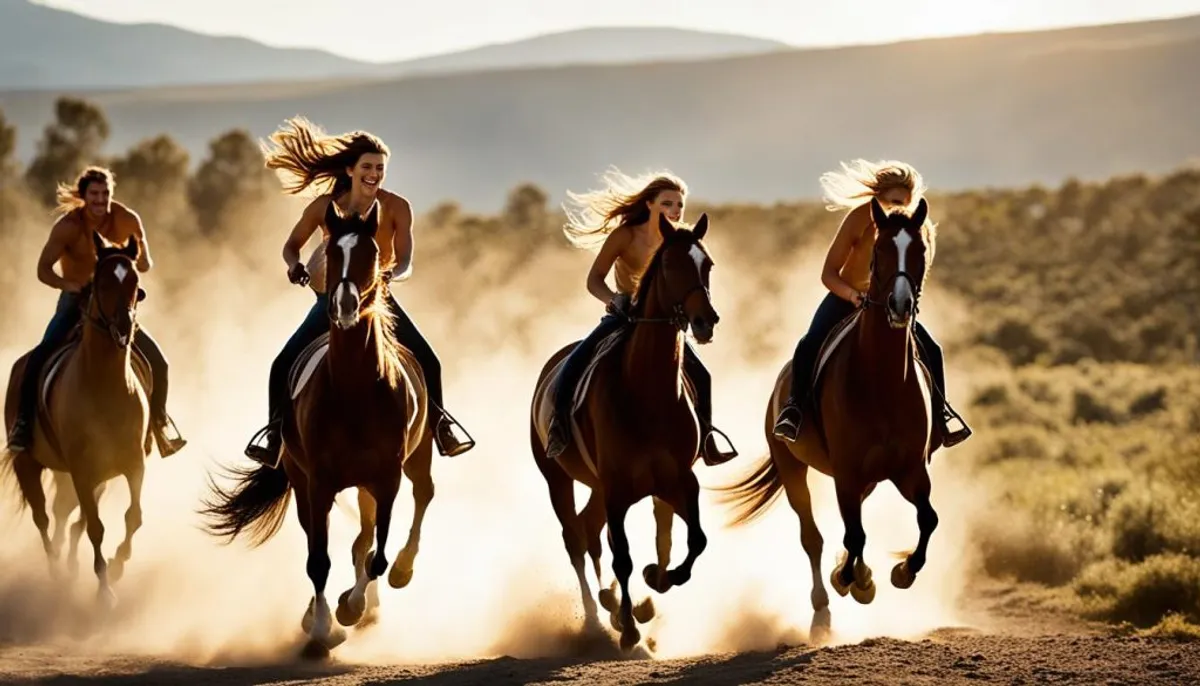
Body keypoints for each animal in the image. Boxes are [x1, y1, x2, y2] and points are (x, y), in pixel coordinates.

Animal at [2, 235, 152, 604]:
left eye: (135, 283)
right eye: (102, 282)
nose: (124, 326)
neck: (105, 385)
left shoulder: (133, 464)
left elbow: (133, 517)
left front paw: (117, 564)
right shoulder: (83, 470)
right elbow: (95, 527)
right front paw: (105, 590)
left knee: (64, 515)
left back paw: (68, 566)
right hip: (28, 463)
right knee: (43, 516)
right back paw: (56, 571)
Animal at [201, 199, 436, 652]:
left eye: (371, 254)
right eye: (330, 252)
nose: (343, 306)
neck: (356, 389)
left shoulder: (387, 478)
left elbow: (376, 556)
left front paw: (353, 606)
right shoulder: (319, 482)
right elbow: (319, 560)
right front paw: (323, 627)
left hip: (416, 459)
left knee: (421, 497)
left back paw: (399, 573)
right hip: (305, 480)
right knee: (337, 539)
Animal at [530, 212, 715, 652]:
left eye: (708, 265)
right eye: (670, 265)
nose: (706, 321)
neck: (646, 392)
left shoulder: (679, 481)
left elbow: (691, 540)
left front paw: (657, 583)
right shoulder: (616, 489)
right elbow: (623, 556)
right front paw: (629, 627)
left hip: (598, 487)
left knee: (589, 528)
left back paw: (612, 602)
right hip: (558, 479)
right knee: (576, 538)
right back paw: (597, 620)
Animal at [715, 195, 940, 642]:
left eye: (920, 250)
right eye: (879, 250)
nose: (900, 305)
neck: (882, 380)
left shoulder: (909, 470)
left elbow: (927, 519)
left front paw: (901, 571)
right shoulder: (847, 472)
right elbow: (853, 533)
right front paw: (853, 580)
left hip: (867, 479)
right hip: (793, 467)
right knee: (813, 537)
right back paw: (823, 609)